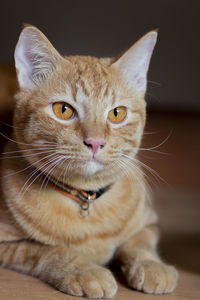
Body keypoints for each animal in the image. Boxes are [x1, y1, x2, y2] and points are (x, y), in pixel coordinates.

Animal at [0, 25, 178, 298]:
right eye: (63, 110)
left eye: (117, 114)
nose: (95, 142)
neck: (86, 196)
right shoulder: (7, 244)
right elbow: (46, 250)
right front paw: (84, 270)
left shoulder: (150, 223)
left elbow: (140, 243)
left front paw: (151, 265)